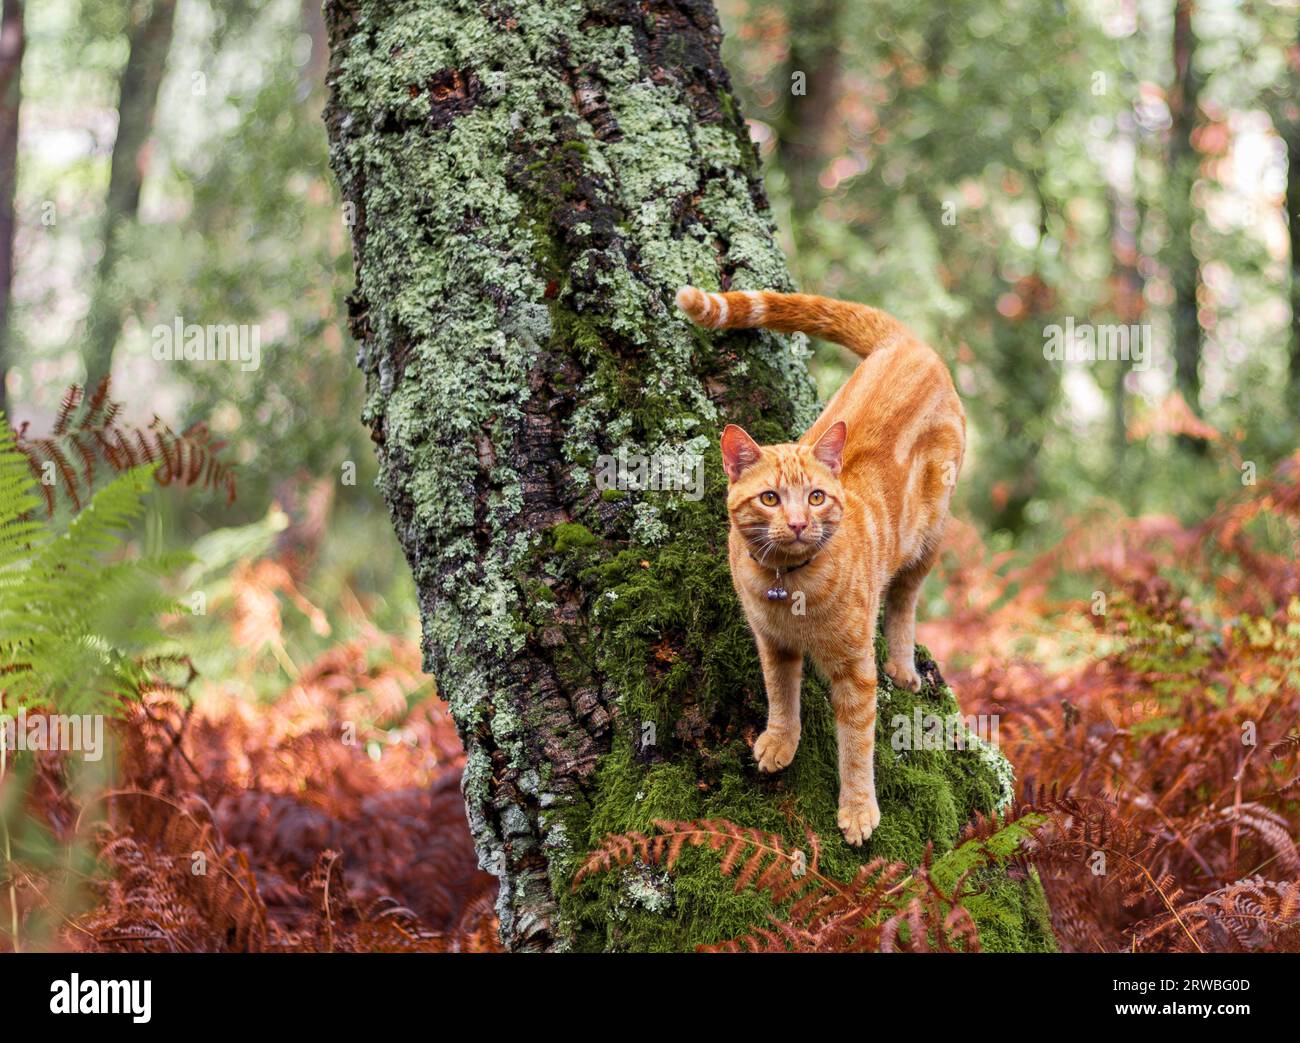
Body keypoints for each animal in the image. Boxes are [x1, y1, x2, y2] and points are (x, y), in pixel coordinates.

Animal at [670, 284, 967, 842]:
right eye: (769, 498)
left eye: (815, 497)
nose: (796, 524)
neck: (790, 586)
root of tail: (910, 344)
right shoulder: (772, 643)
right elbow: (780, 694)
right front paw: (780, 741)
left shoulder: (854, 671)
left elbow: (856, 744)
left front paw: (857, 809)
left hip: (930, 535)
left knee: (905, 599)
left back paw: (903, 664)